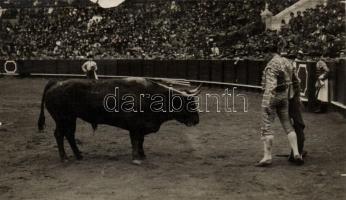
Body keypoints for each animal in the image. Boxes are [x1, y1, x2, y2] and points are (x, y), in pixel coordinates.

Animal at [37, 77, 200, 163]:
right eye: (190, 104)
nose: (197, 120)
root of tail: (55, 83)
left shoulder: (141, 128)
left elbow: (141, 141)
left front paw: (142, 155)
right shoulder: (135, 127)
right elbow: (135, 141)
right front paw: (136, 158)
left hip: (71, 119)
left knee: (69, 135)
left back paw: (79, 155)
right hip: (62, 118)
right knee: (60, 134)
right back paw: (64, 157)